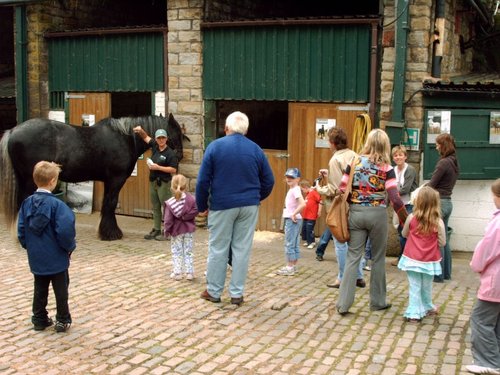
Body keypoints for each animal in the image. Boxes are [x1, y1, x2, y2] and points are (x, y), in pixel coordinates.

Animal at [0, 114, 188, 241]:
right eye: (176, 132)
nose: (179, 156)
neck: (125, 138)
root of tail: (13, 131)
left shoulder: (108, 181)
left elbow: (107, 204)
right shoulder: (116, 180)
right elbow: (110, 204)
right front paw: (112, 233)